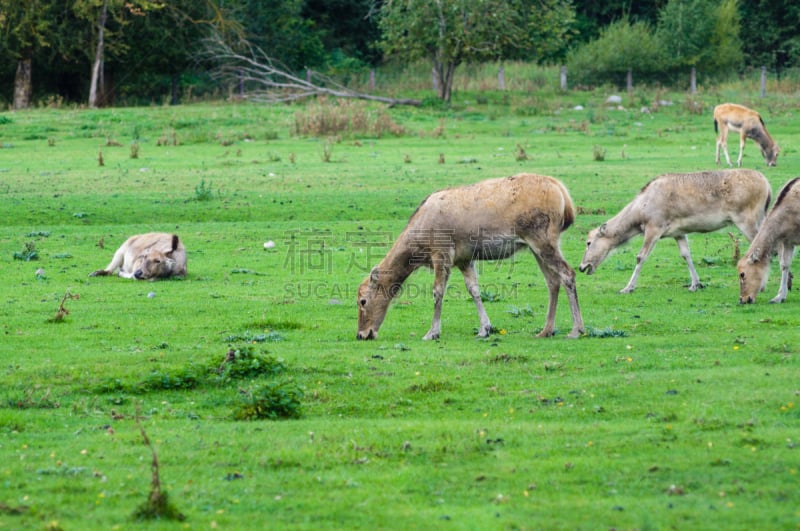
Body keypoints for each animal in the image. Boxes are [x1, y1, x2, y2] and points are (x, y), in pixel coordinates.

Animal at [580, 170, 772, 294]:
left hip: (746, 219)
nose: (582, 267)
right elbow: (686, 254)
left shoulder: (654, 226)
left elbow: (641, 256)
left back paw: (763, 286)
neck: (640, 214)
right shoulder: (678, 232)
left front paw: (627, 288)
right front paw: (695, 284)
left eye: (588, 242)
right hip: (760, 217)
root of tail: (768, 186)